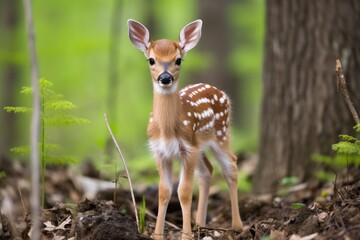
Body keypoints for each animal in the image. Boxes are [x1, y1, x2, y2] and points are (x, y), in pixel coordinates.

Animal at [128, 19, 243, 240]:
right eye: (151, 60)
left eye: (179, 60)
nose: (165, 78)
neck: (167, 131)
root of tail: (222, 93)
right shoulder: (160, 151)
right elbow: (164, 191)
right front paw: (157, 235)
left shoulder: (187, 149)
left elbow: (184, 192)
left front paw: (186, 235)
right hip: (200, 145)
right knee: (207, 171)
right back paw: (200, 224)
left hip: (220, 134)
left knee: (231, 166)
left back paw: (236, 226)